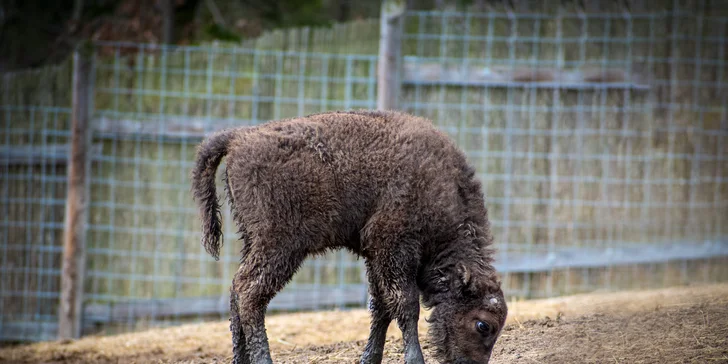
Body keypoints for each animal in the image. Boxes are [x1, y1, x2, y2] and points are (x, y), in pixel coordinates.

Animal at [192, 109, 506, 362]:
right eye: (483, 325)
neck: (441, 184)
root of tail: (238, 138)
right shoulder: (393, 248)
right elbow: (405, 306)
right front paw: (415, 359)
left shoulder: (375, 256)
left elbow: (380, 308)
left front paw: (370, 359)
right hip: (279, 246)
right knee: (249, 293)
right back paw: (263, 360)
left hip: (252, 240)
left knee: (236, 291)